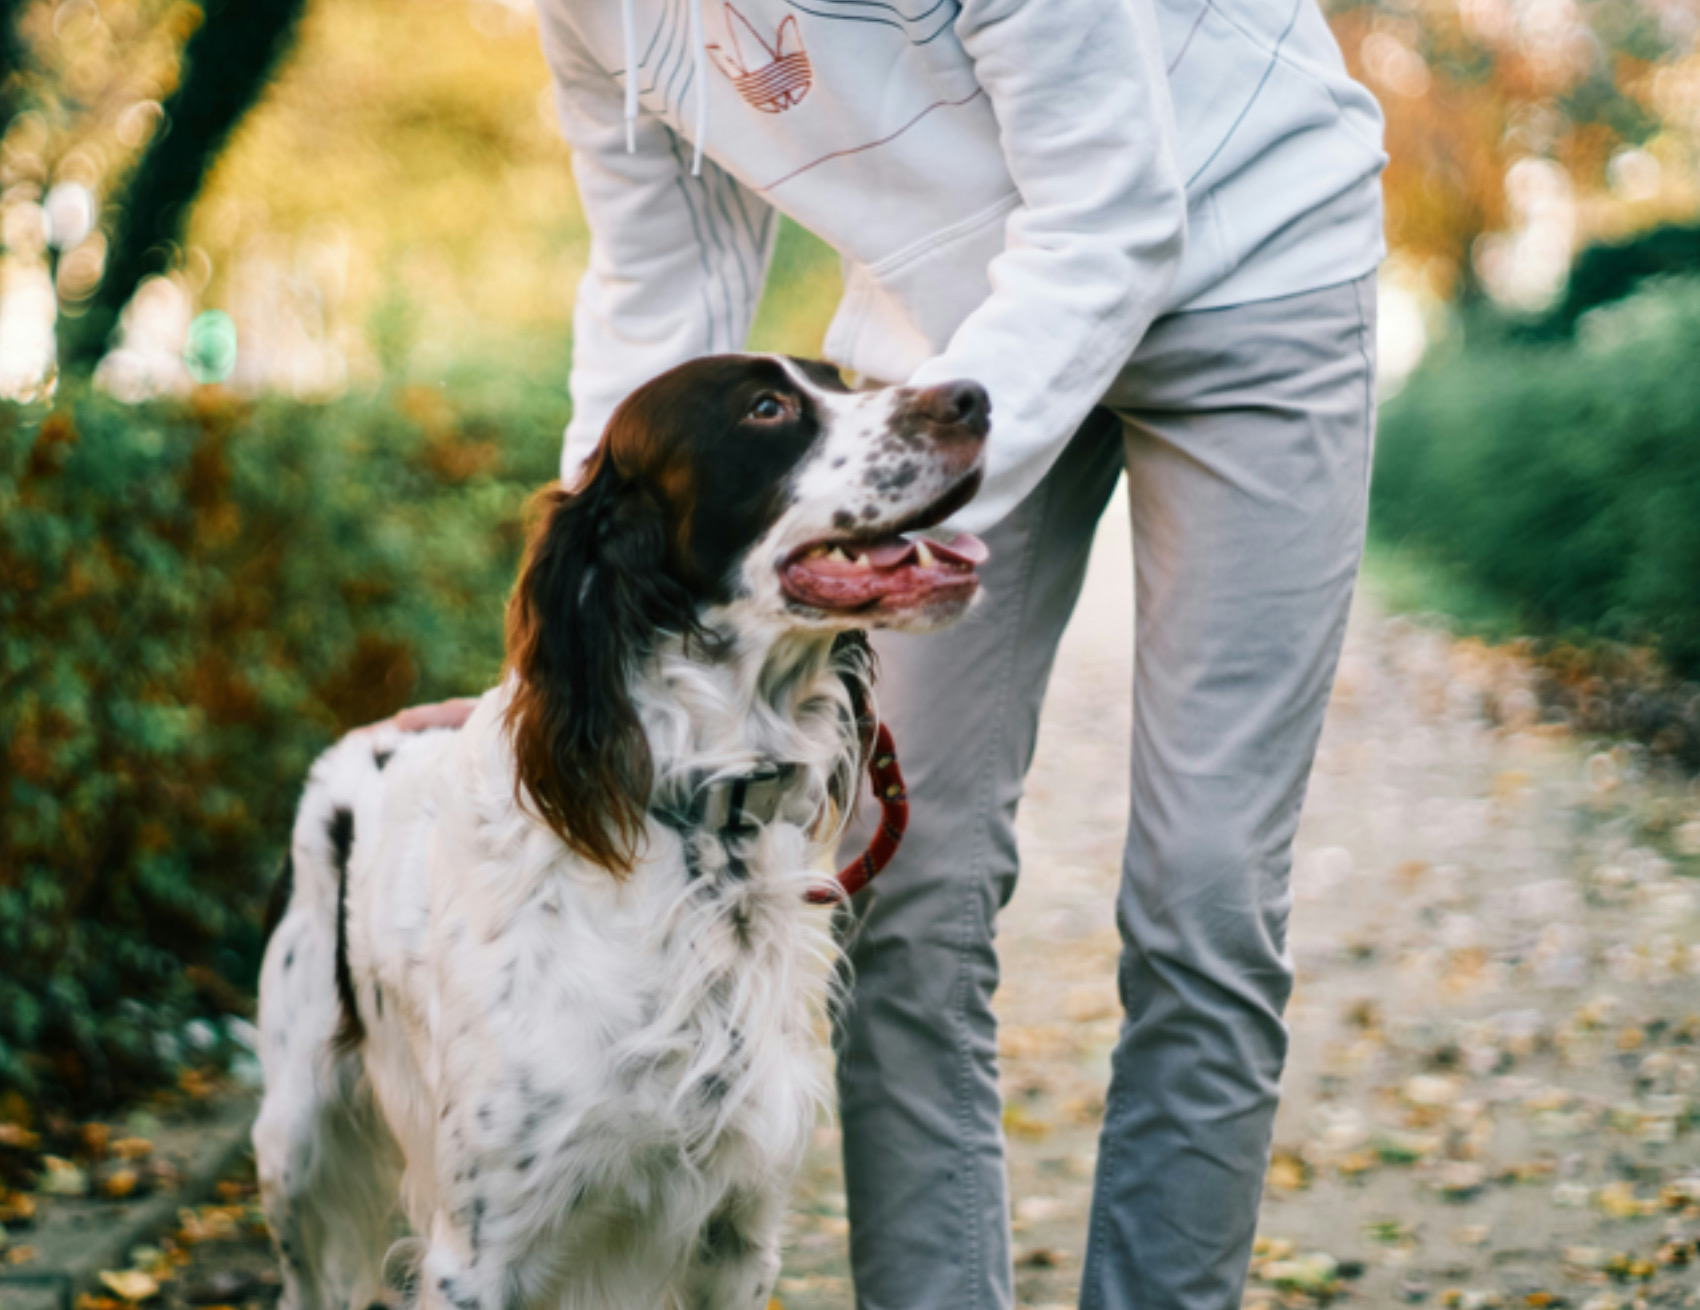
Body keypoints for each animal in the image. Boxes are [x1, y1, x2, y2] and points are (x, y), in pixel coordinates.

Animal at [256, 353, 992, 1310]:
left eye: (841, 377)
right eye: (766, 408)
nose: (975, 398)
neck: (703, 826)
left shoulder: (738, 1232)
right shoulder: (478, 1254)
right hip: (294, 1150)